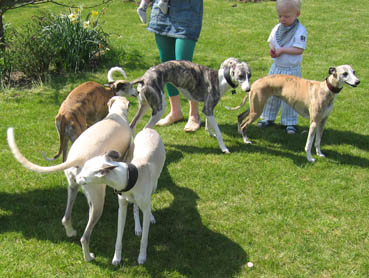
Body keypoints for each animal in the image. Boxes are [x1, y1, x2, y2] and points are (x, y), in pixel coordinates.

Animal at [76, 128, 165, 264]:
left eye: (84, 176)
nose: (75, 179)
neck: (129, 178)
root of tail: (148, 129)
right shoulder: (122, 208)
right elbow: (118, 237)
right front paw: (117, 258)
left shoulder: (143, 203)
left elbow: (144, 239)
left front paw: (142, 257)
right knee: (135, 207)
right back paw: (138, 227)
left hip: (154, 185)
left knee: (146, 204)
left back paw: (149, 217)